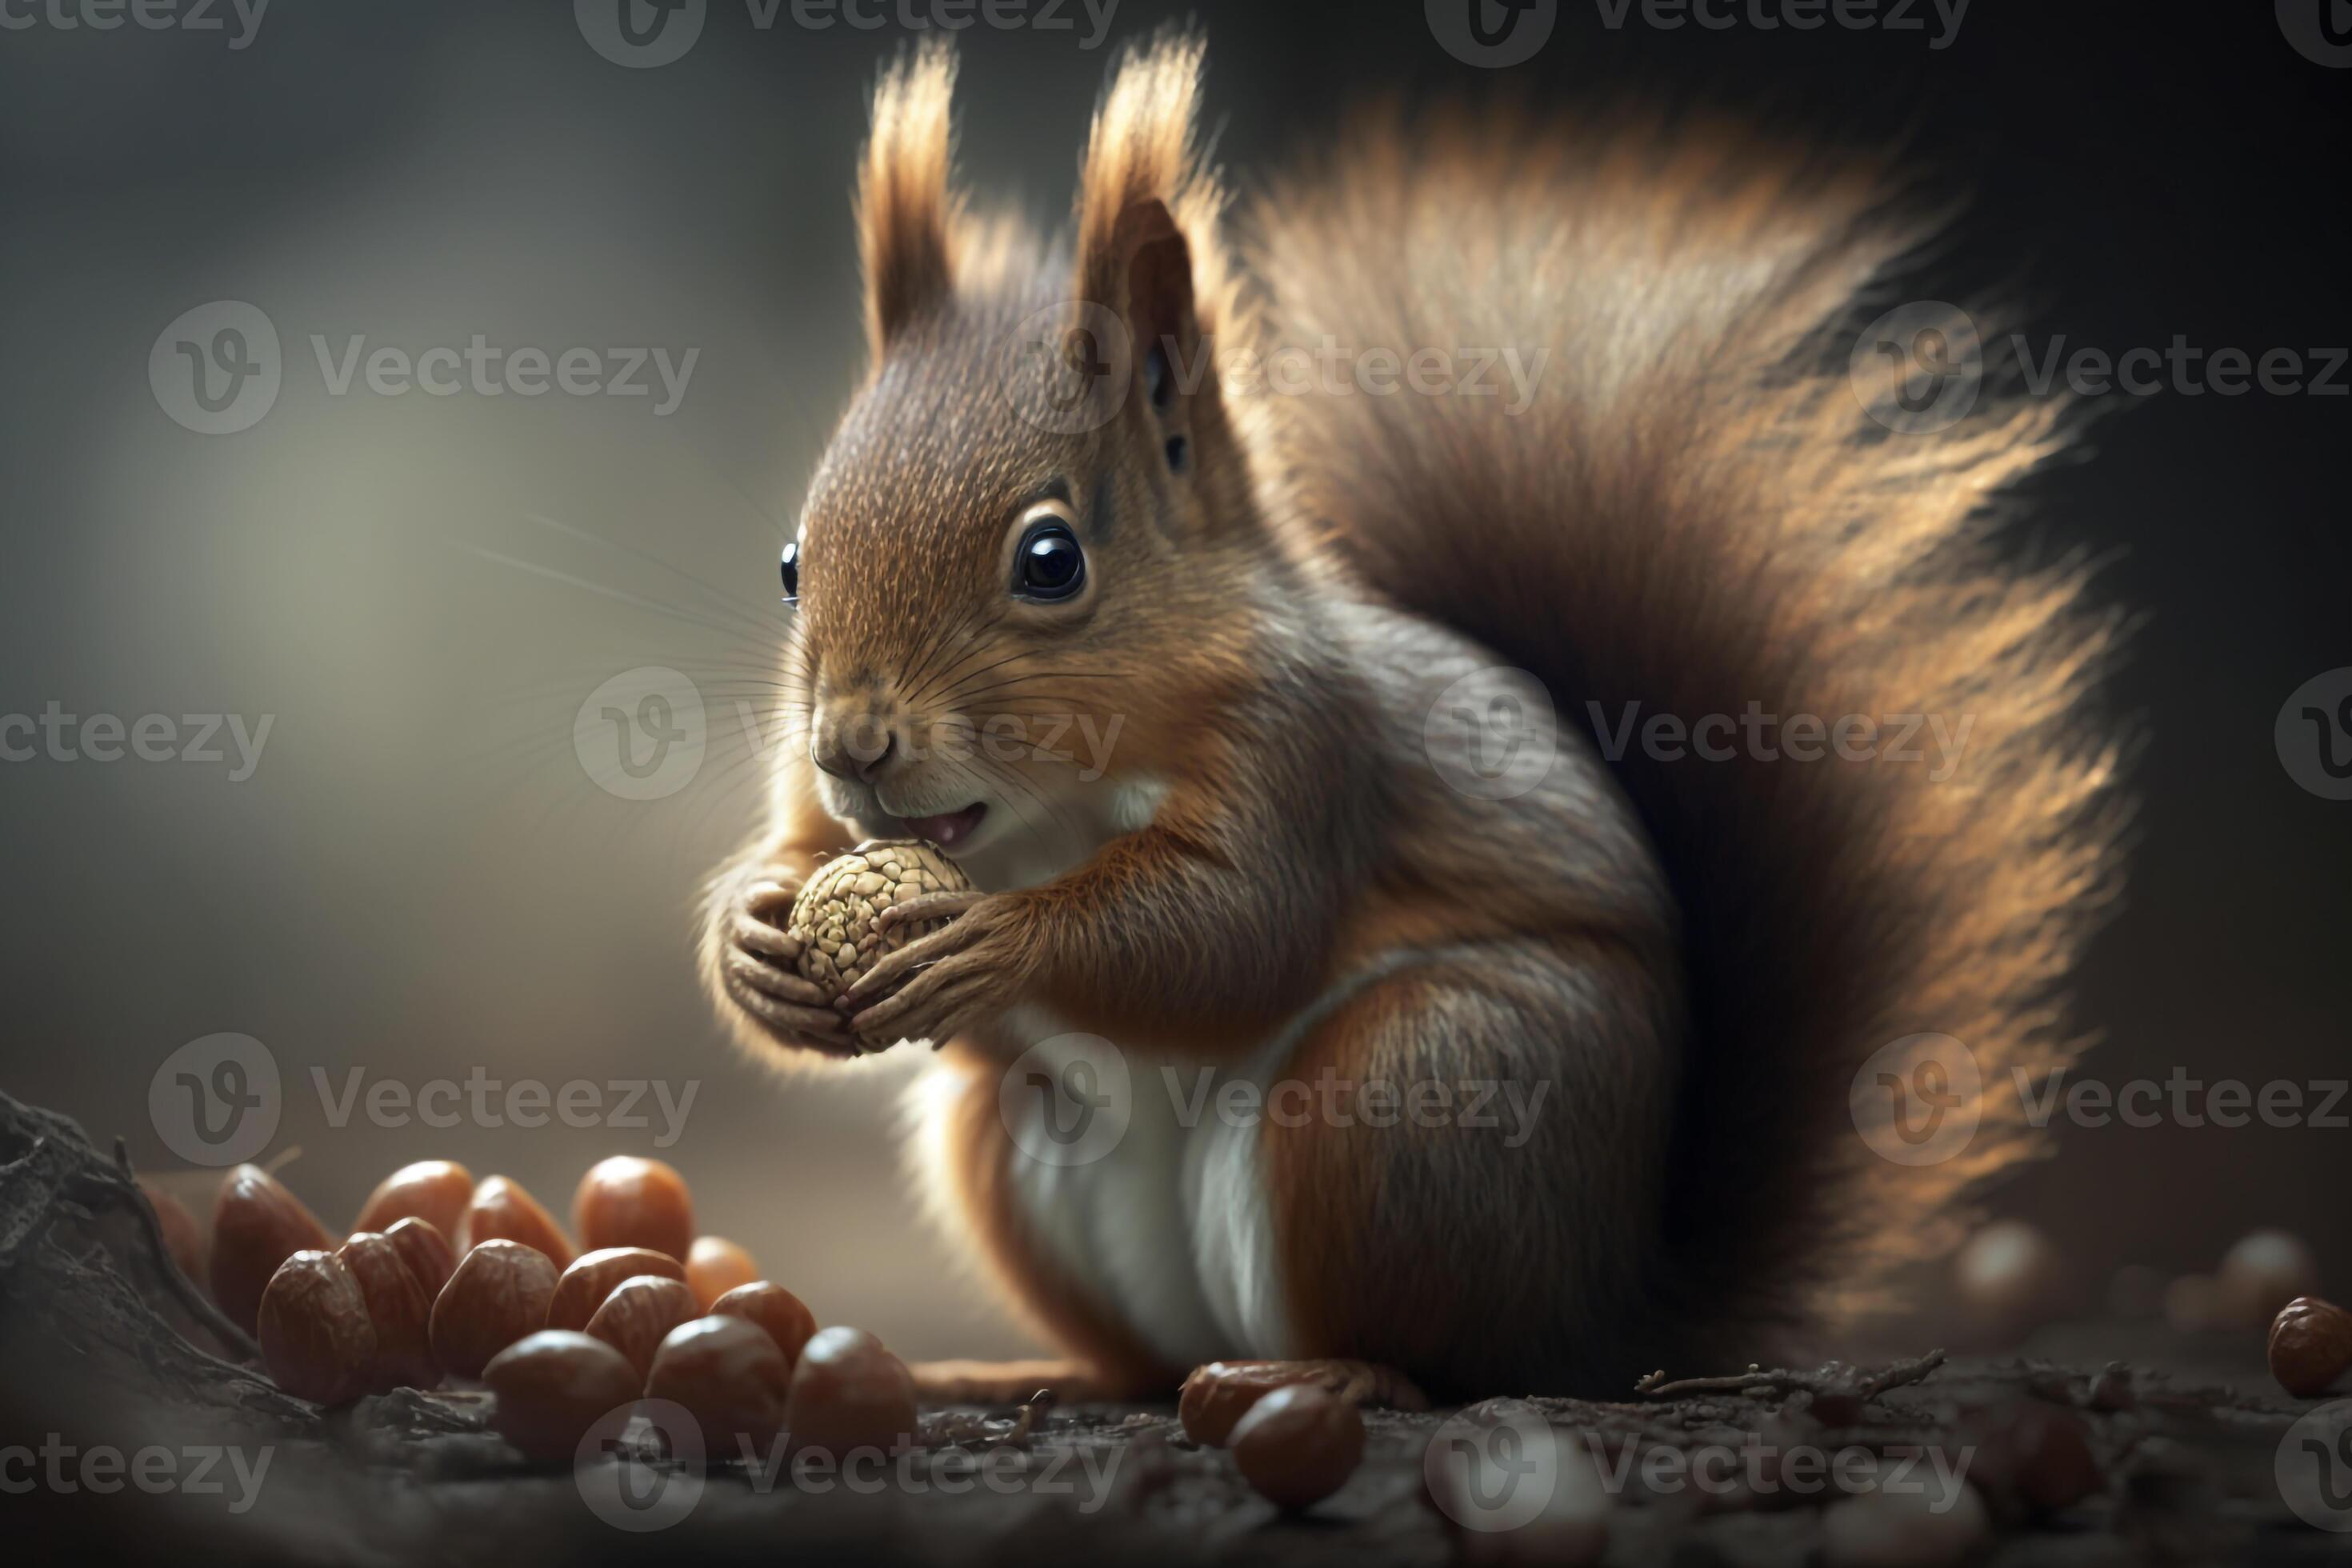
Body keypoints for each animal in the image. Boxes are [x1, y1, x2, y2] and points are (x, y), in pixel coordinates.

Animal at [700, 32, 2124, 1401]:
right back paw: (1030, 1370)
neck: (1045, 813)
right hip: (1013, 1140)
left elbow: (1236, 928)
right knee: (1141, 1353)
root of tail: (1614, 1319)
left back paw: (1342, 1373)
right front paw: (757, 941)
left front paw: (1002, 941)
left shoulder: (1314, 750)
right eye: (790, 563)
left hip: (1413, 1097)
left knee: (1446, 1357)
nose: (854, 746)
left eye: (1051, 561)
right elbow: (801, 855)